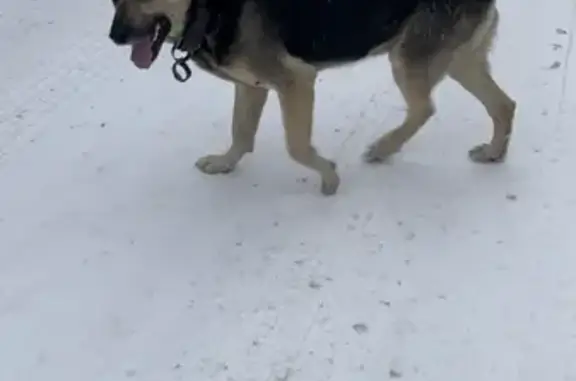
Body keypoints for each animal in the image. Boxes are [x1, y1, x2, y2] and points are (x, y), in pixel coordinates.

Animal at [109, 0, 516, 196]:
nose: (114, 36)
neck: (210, 5)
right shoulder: (252, 85)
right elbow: (240, 134)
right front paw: (225, 163)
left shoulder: (297, 81)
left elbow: (297, 147)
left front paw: (330, 177)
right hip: (457, 58)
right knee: (504, 105)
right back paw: (494, 153)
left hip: (408, 58)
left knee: (425, 108)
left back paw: (383, 147)